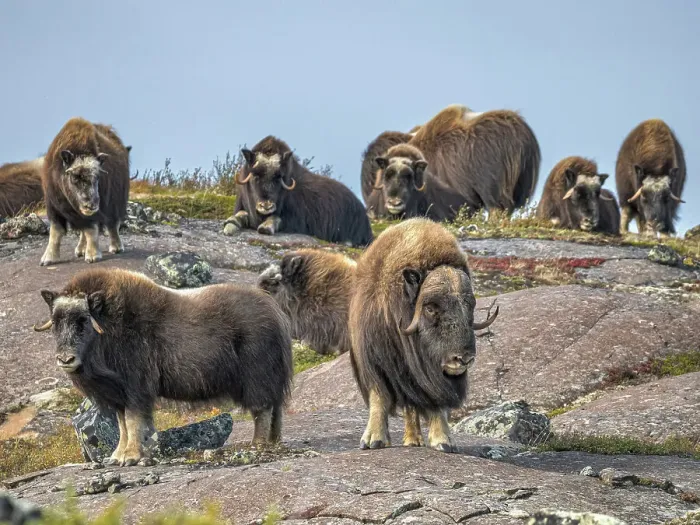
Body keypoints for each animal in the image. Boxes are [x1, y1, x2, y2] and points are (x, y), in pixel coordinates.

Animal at [33, 267, 293, 466]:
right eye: (56, 322)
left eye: (83, 321)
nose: (65, 360)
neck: (109, 325)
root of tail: (273, 309)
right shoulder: (119, 393)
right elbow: (121, 424)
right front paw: (116, 457)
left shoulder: (136, 388)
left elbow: (132, 421)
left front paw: (130, 457)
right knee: (276, 408)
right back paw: (274, 441)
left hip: (258, 376)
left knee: (262, 408)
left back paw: (258, 444)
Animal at [40, 117, 130, 266]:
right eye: (75, 177)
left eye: (98, 177)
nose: (91, 205)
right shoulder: (54, 207)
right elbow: (55, 232)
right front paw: (47, 259)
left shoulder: (96, 211)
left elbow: (91, 229)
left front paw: (93, 256)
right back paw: (80, 250)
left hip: (116, 202)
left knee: (112, 224)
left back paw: (116, 247)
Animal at [226, 136, 373, 247]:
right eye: (256, 175)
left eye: (279, 177)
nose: (266, 206)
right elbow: (239, 214)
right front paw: (230, 224)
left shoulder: (295, 220)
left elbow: (275, 219)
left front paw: (265, 227)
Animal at [348, 218, 499, 453]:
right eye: (430, 308)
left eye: (470, 305)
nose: (463, 358)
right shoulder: (375, 362)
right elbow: (380, 396)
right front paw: (373, 440)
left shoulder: (431, 378)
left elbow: (434, 402)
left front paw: (444, 442)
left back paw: (413, 440)